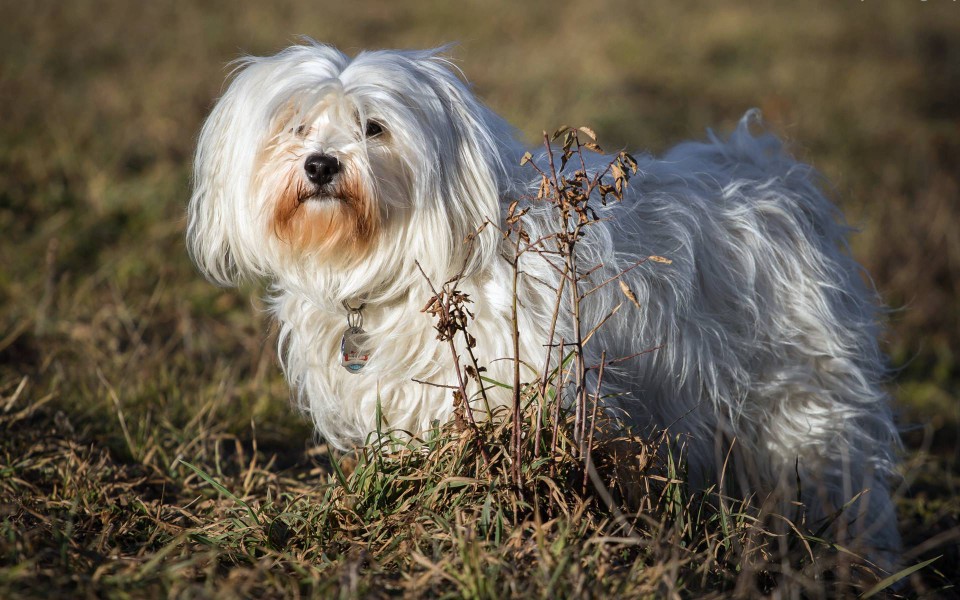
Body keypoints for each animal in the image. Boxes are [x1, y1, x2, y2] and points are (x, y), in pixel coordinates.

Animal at [186, 39, 900, 564]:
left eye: (375, 128)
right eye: (297, 126)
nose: (320, 164)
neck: (403, 264)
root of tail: (772, 179)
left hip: (802, 405)